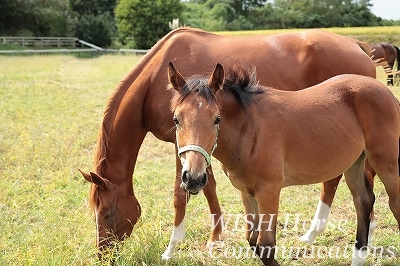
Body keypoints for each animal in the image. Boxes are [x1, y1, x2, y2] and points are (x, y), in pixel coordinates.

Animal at [78, 27, 376, 258]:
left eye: (107, 212)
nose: (103, 254)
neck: (154, 79)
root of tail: (357, 44)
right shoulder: (196, 147)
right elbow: (207, 186)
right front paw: (215, 237)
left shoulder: (180, 145)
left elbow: (180, 194)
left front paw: (172, 248)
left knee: (336, 179)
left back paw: (319, 231)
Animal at [169, 62, 400, 266]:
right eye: (176, 119)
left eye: (217, 119)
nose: (193, 178)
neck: (250, 129)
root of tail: (385, 90)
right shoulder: (246, 192)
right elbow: (252, 240)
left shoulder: (269, 191)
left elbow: (266, 244)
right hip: (354, 162)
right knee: (363, 200)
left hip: (385, 161)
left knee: (394, 203)